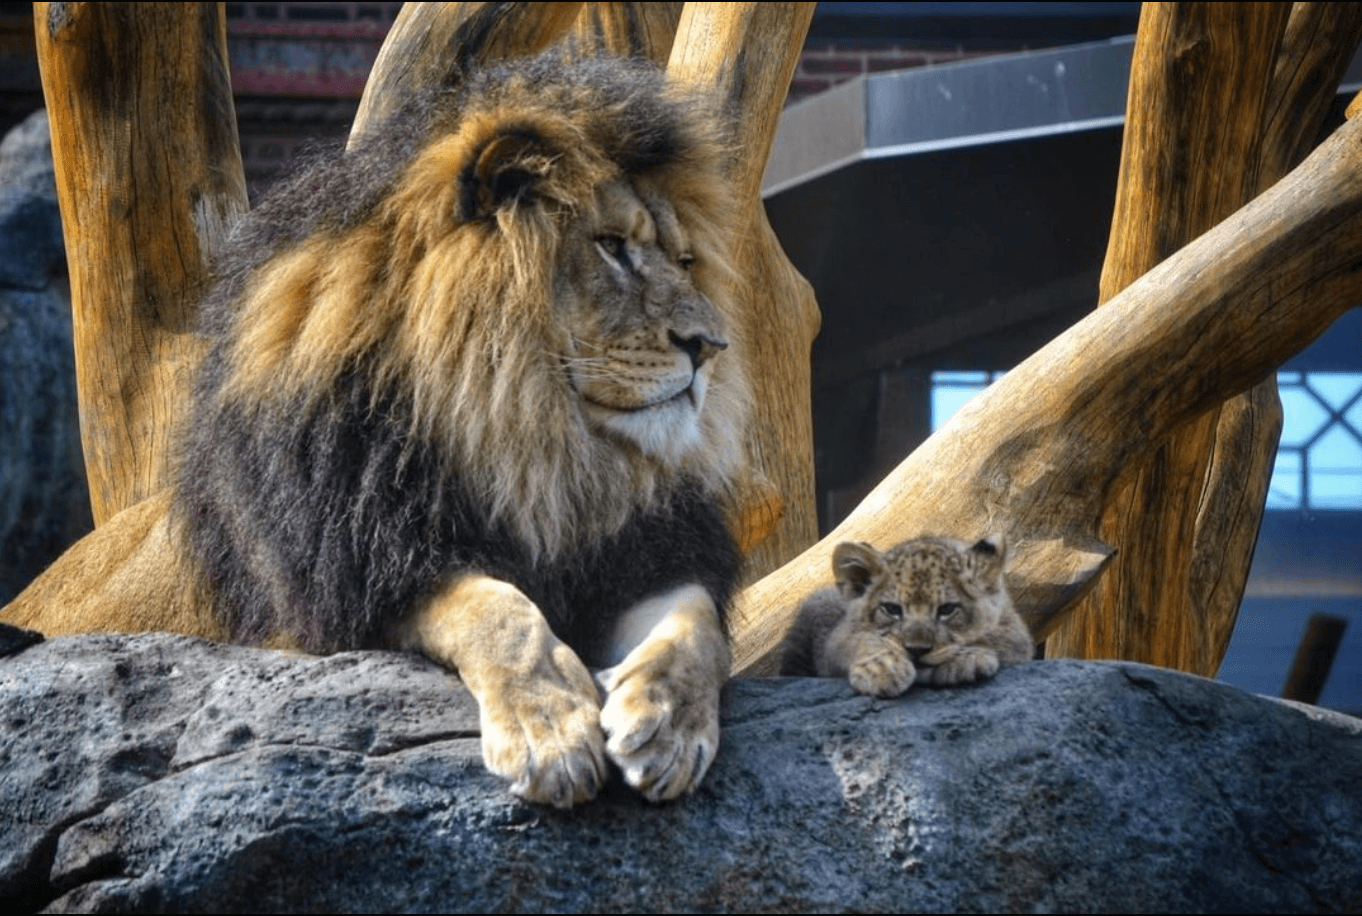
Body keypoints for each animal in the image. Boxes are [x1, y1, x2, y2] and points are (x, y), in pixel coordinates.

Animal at [0, 53, 746, 805]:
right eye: (612, 246)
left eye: (685, 262)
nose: (710, 346)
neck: (530, 442)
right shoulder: (349, 591)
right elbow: (498, 611)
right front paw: (550, 732)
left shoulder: (644, 550)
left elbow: (694, 626)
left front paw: (667, 724)